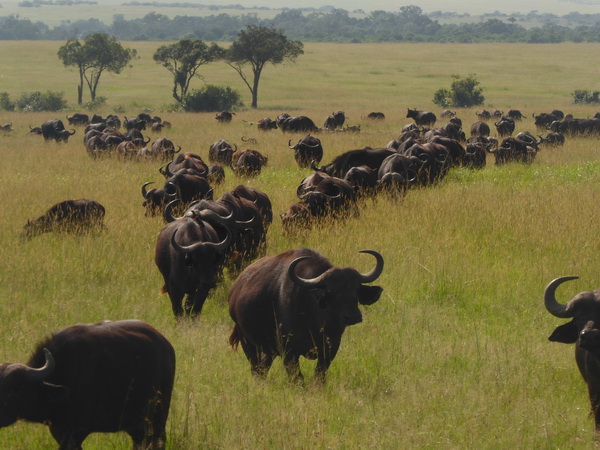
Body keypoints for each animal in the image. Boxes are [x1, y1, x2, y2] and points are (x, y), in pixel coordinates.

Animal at [227, 248, 382, 382]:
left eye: (356, 289)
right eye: (331, 291)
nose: (353, 316)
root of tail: (236, 288)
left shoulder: (330, 348)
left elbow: (319, 375)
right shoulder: (289, 351)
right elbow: (297, 378)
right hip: (247, 342)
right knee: (256, 369)